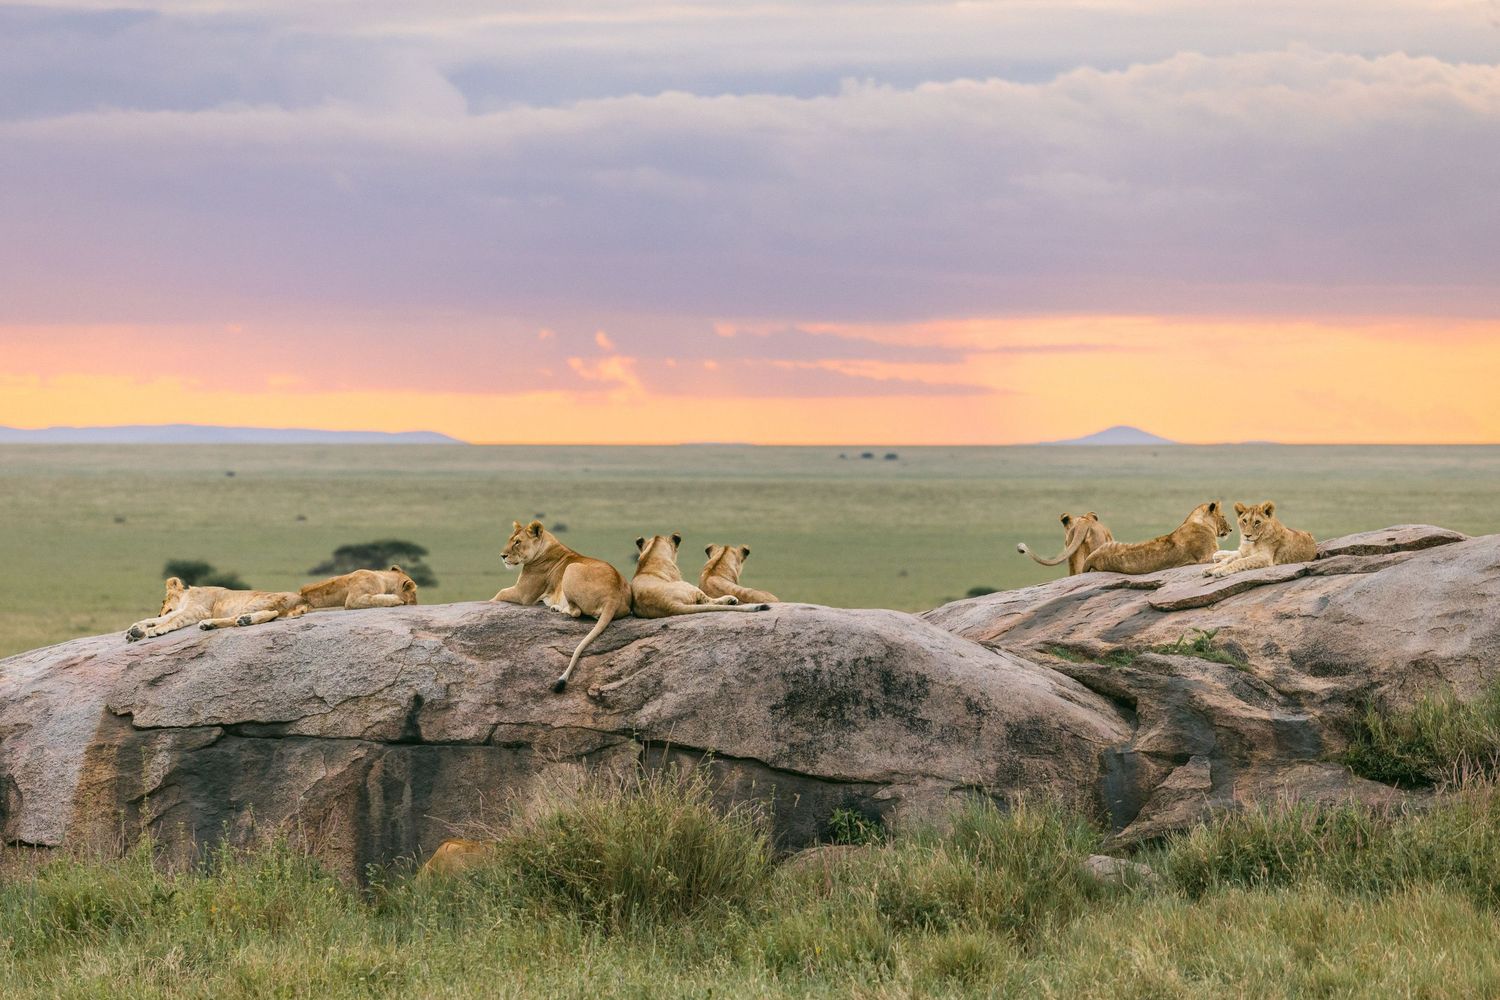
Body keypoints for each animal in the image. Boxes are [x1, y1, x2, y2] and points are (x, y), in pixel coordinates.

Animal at [125, 577, 309, 641]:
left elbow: (172, 619)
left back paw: (211, 623)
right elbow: (155, 620)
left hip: (258, 600)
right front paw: (135, 630)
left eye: (163, 601)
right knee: (272, 614)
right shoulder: (182, 609)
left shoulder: (197, 610)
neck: (186, 597)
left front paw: (156, 629)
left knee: (268, 613)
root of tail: (302, 599)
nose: (159, 610)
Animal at [490, 520, 632, 693]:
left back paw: (559, 608)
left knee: (577, 612)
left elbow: (498, 594)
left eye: (517, 542)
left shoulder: (523, 594)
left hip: (571, 568)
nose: (502, 556)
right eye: (510, 539)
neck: (546, 545)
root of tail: (613, 595)